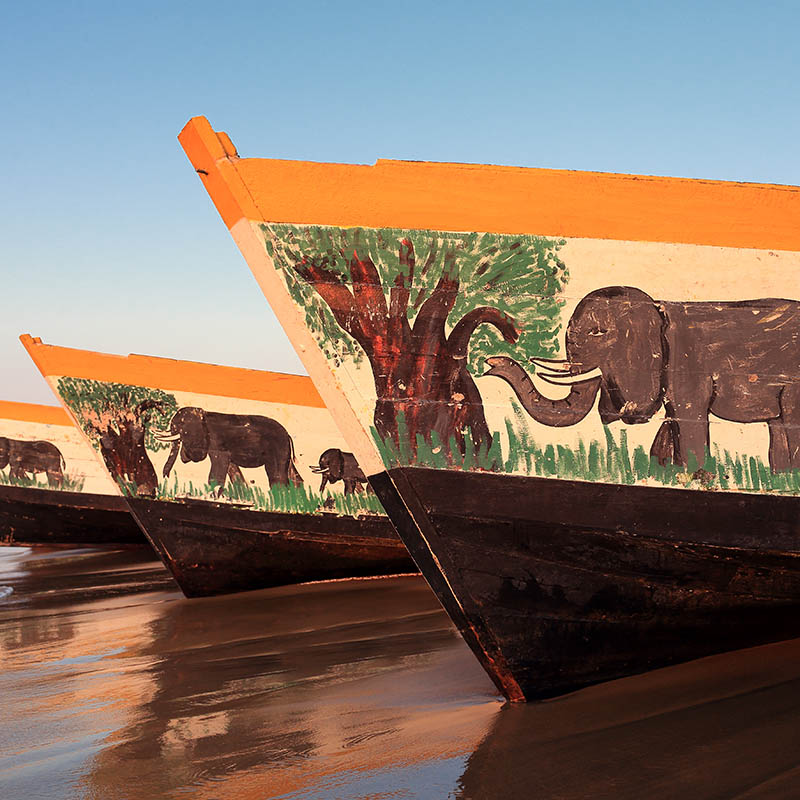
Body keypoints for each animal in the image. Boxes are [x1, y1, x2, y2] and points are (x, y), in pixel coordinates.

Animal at [155, 410, 304, 490]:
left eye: (180, 425)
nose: (166, 477)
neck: (204, 413)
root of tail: (288, 435)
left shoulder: (216, 443)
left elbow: (218, 469)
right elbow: (232, 469)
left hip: (278, 449)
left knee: (277, 476)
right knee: (293, 475)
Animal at [484, 286, 800, 472]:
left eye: (598, 332)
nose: (489, 365)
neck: (659, 308)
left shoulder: (685, 363)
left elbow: (688, 420)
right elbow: (671, 423)